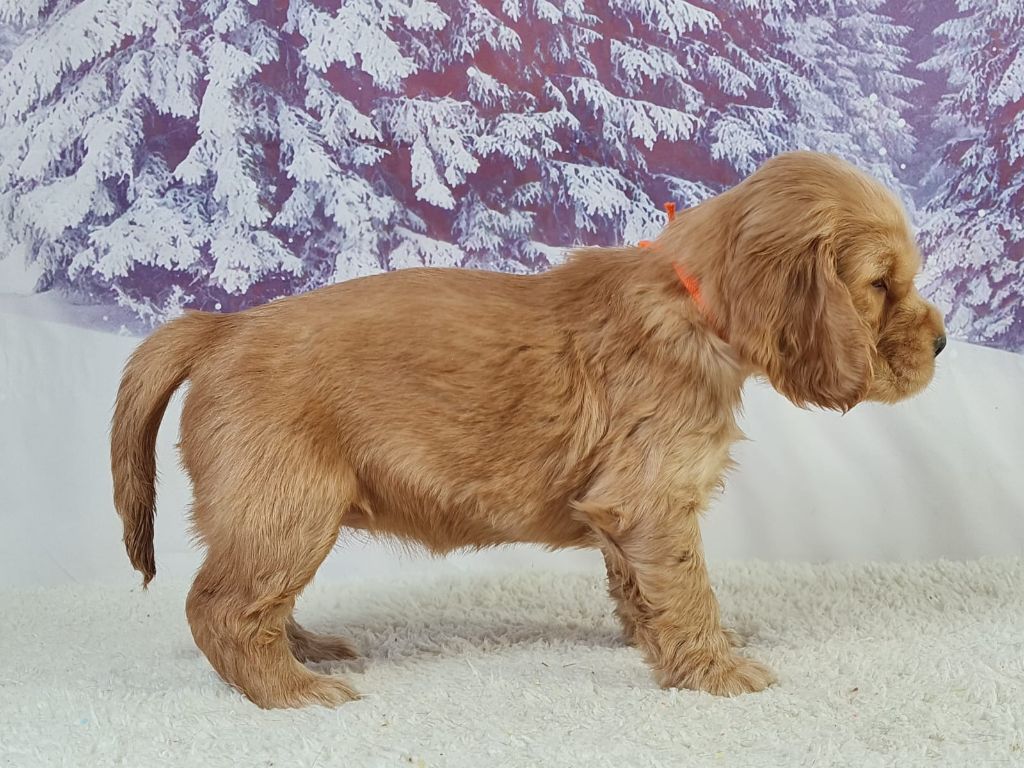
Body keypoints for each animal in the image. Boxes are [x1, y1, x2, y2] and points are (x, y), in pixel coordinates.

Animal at [111, 151, 946, 708]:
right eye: (881, 286)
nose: (941, 342)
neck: (691, 299)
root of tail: (219, 327)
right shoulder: (651, 502)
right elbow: (688, 589)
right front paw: (716, 672)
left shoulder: (624, 513)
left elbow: (641, 589)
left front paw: (661, 647)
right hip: (286, 508)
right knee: (220, 608)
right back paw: (292, 689)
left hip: (278, 517)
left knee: (256, 603)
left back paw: (311, 650)